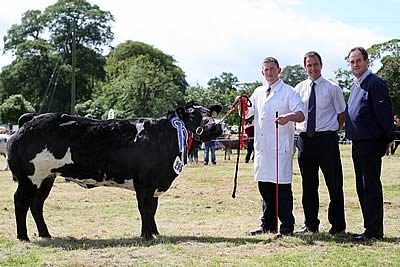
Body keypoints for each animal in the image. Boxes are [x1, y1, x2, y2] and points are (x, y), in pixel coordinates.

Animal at [7, 102, 222, 241]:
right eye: (193, 116)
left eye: (209, 113)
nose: (217, 126)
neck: (164, 137)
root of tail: (32, 118)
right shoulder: (144, 183)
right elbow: (145, 208)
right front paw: (147, 236)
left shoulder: (154, 183)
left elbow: (153, 208)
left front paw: (155, 232)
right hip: (30, 178)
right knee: (21, 202)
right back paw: (23, 236)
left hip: (46, 178)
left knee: (36, 204)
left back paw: (45, 234)